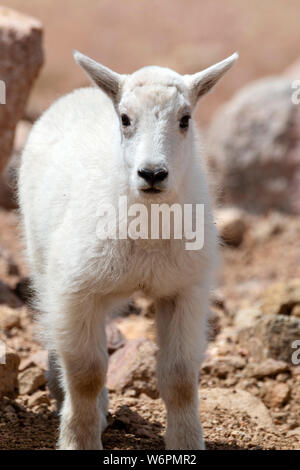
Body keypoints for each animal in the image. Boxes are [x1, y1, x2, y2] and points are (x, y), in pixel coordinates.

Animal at [18, 49, 239, 450]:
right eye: (124, 119)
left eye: (185, 119)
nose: (152, 174)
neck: (146, 226)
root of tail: (81, 92)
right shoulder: (77, 291)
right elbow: (86, 373)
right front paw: (78, 440)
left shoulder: (184, 291)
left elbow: (181, 377)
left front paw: (186, 442)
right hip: (43, 264)